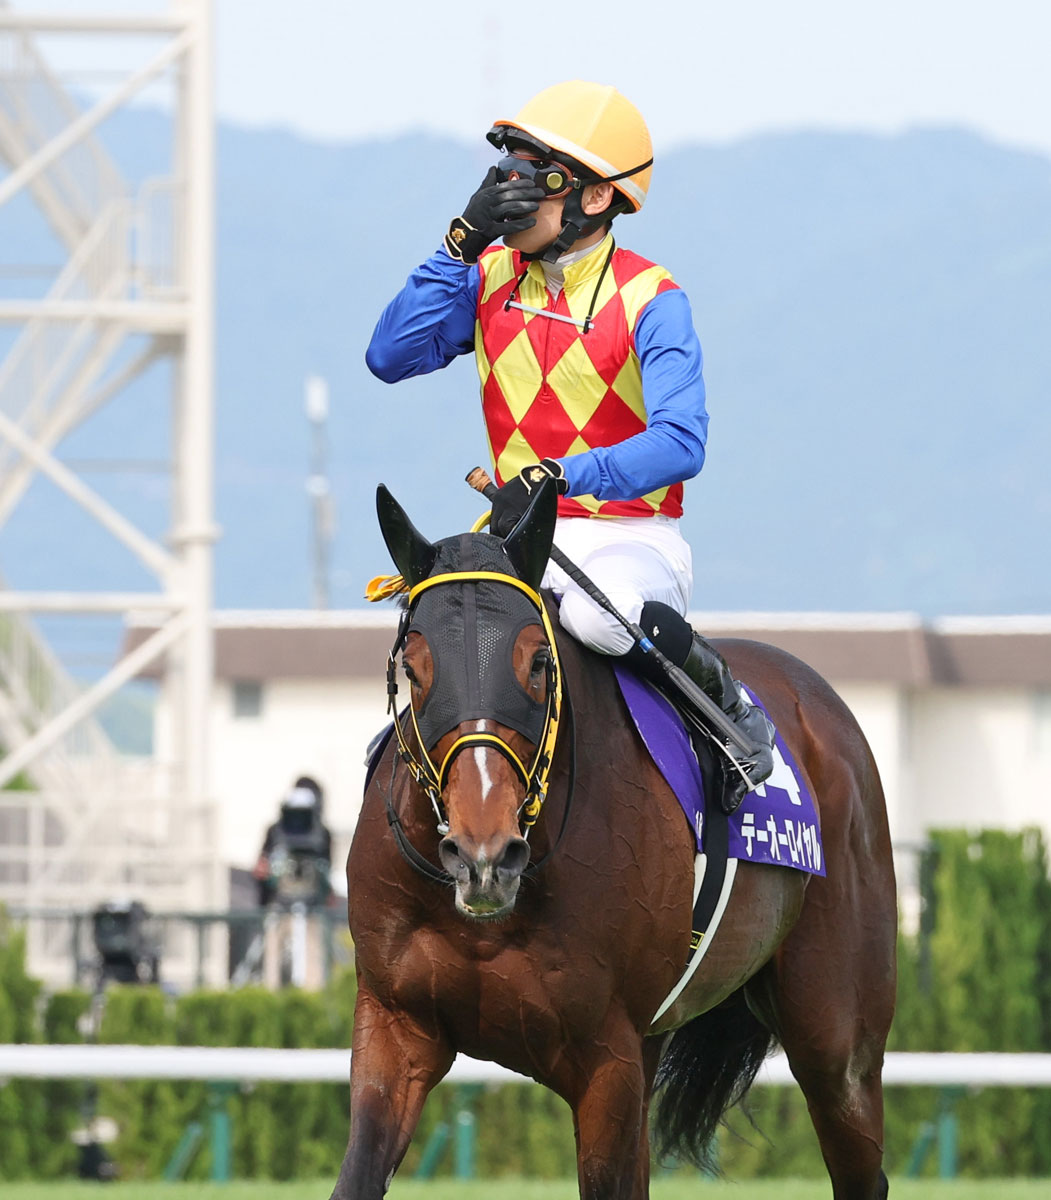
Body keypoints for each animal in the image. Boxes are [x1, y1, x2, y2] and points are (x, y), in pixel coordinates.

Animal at [330, 481, 897, 1200]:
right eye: (414, 663)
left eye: (537, 661)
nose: (483, 855)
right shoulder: (395, 1027)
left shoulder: (607, 1059)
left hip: (838, 1040)